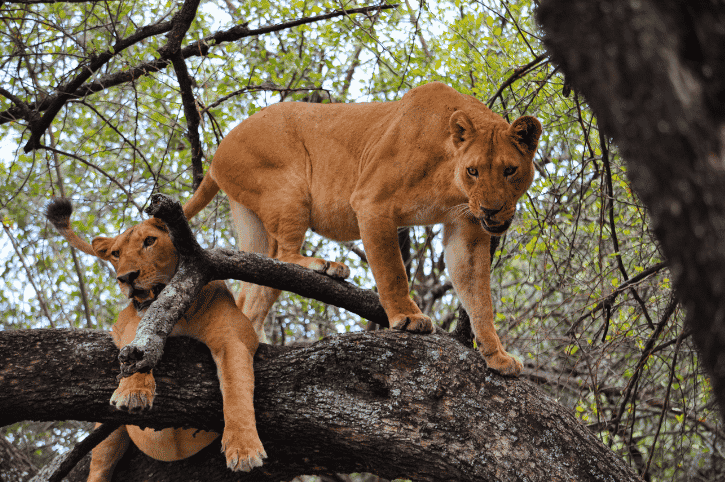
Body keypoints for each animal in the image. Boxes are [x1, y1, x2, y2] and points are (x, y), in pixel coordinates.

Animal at [45, 198, 266, 481]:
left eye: (149, 241)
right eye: (116, 254)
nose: (126, 278)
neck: (179, 314)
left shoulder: (234, 337)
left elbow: (236, 390)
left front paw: (243, 449)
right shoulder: (129, 324)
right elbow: (137, 350)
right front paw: (133, 393)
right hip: (108, 440)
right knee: (99, 468)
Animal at [183, 81, 542, 376]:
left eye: (510, 170)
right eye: (473, 171)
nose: (491, 209)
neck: (451, 180)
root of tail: (218, 152)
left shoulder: (466, 229)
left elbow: (479, 298)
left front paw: (497, 355)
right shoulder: (372, 202)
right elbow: (392, 271)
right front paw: (407, 318)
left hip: (255, 222)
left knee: (257, 284)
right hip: (289, 187)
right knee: (285, 255)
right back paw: (325, 266)